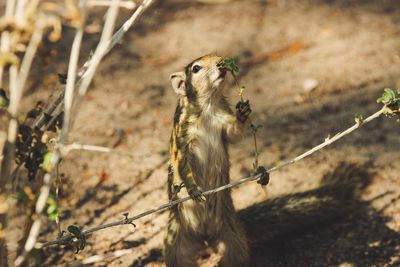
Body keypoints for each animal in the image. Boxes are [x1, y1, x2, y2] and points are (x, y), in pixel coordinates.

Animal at [162, 55, 250, 267]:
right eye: (195, 68)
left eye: (217, 55)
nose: (221, 63)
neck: (208, 106)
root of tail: (204, 236)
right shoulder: (183, 143)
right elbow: (183, 167)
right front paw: (195, 191)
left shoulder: (224, 124)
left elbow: (235, 133)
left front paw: (243, 112)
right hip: (175, 245)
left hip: (234, 238)